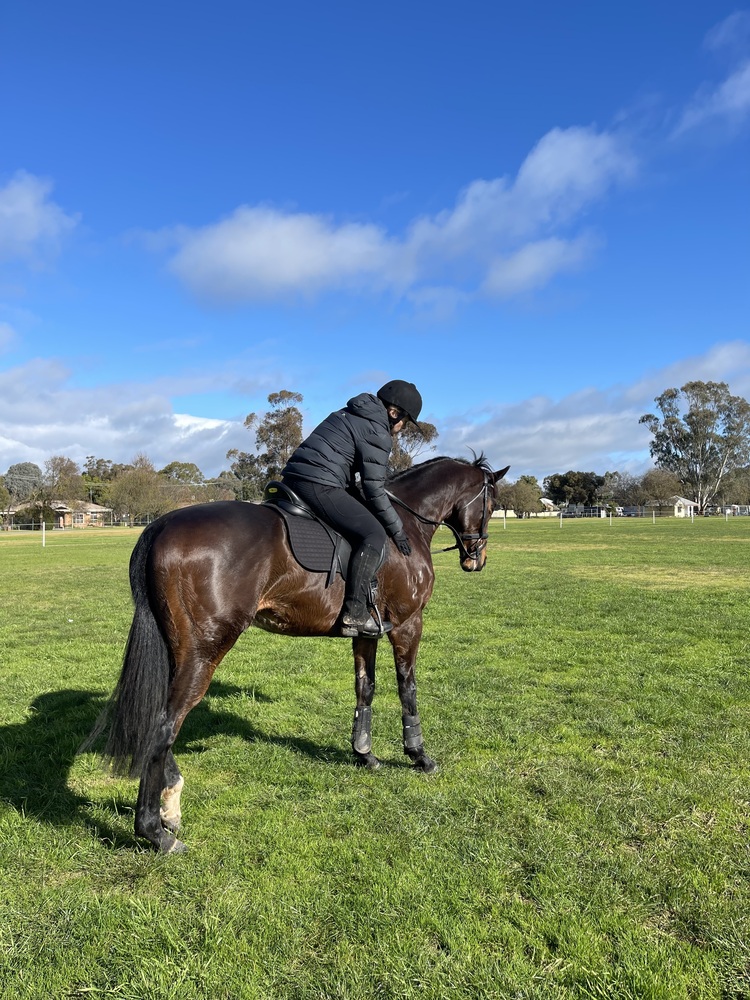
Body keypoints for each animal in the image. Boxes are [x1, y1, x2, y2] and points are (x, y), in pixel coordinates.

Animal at [83, 454, 509, 853]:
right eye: (491, 503)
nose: (477, 559)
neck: (403, 522)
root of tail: (160, 526)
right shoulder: (408, 624)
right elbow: (408, 688)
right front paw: (418, 755)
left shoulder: (367, 632)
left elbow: (365, 688)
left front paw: (364, 753)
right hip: (206, 649)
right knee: (165, 724)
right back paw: (154, 832)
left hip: (180, 651)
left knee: (163, 720)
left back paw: (170, 806)